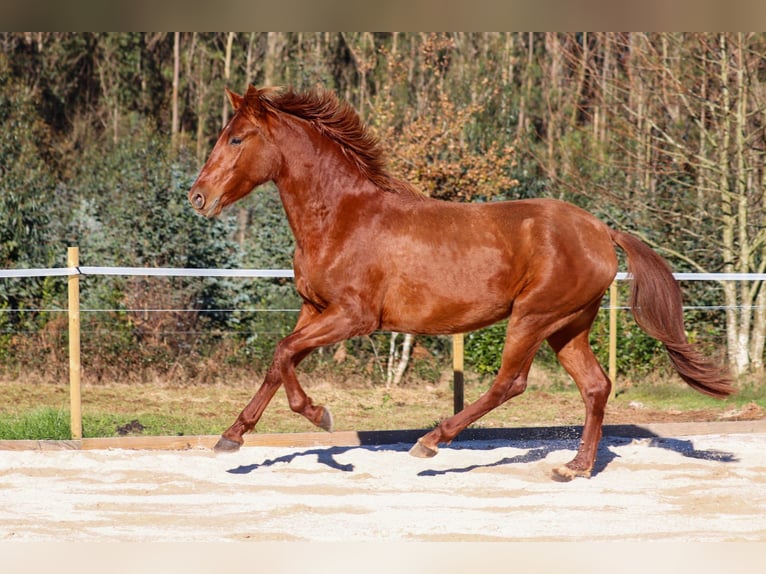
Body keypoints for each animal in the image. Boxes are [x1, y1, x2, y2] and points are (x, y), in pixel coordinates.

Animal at [189, 85, 736, 482]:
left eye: (236, 139)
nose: (198, 197)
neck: (342, 217)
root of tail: (602, 230)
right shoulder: (313, 309)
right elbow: (277, 362)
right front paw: (232, 437)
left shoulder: (353, 317)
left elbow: (283, 353)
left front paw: (318, 416)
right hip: (568, 325)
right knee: (596, 386)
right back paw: (575, 468)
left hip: (533, 317)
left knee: (510, 382)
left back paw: (431, 442)